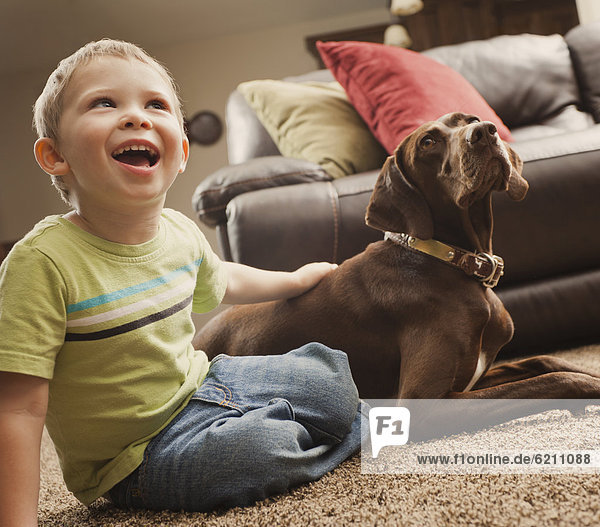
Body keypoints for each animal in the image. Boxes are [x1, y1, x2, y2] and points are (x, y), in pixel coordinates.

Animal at [195, 112, 600, 404]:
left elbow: (548, 360)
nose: (484, 132)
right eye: (428, 142)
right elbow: (559, 378)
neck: (450, 262)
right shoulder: (424, 398)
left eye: (468, 119)